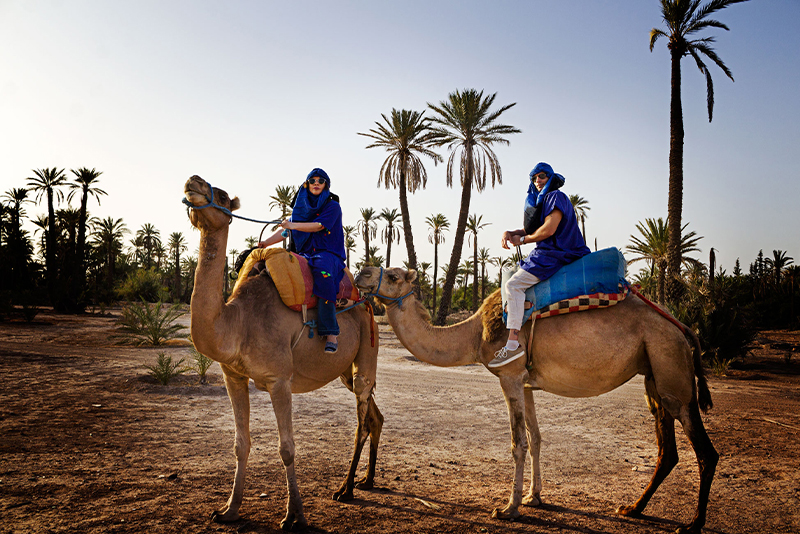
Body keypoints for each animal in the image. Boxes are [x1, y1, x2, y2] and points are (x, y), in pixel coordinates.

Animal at [183, 177, 382, 532]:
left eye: (222, 196)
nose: (194, 182)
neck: (238, 322)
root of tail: (368, 303)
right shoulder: (232, 375)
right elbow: (240, 445)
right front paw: (229, 510)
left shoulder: (279, 380)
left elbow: (287, 448)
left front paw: (294, 516)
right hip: (345, 370)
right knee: (374, 416)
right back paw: (366, 481)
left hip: (367, 349)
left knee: (362, 419)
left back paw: (345, 490)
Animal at [356, 268, 720, 534]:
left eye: (393, 275)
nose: (361, 272)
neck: (472, 335)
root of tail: (683, 327)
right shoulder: (527, 384)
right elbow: (535, 438)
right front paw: (534, 497)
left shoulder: (510, 376)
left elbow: (517, 442)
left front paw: (509, 508)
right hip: (653, 375)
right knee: (668, 450)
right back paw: (633, 508)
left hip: (671, 370)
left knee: (705, 451)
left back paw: (692, 524)